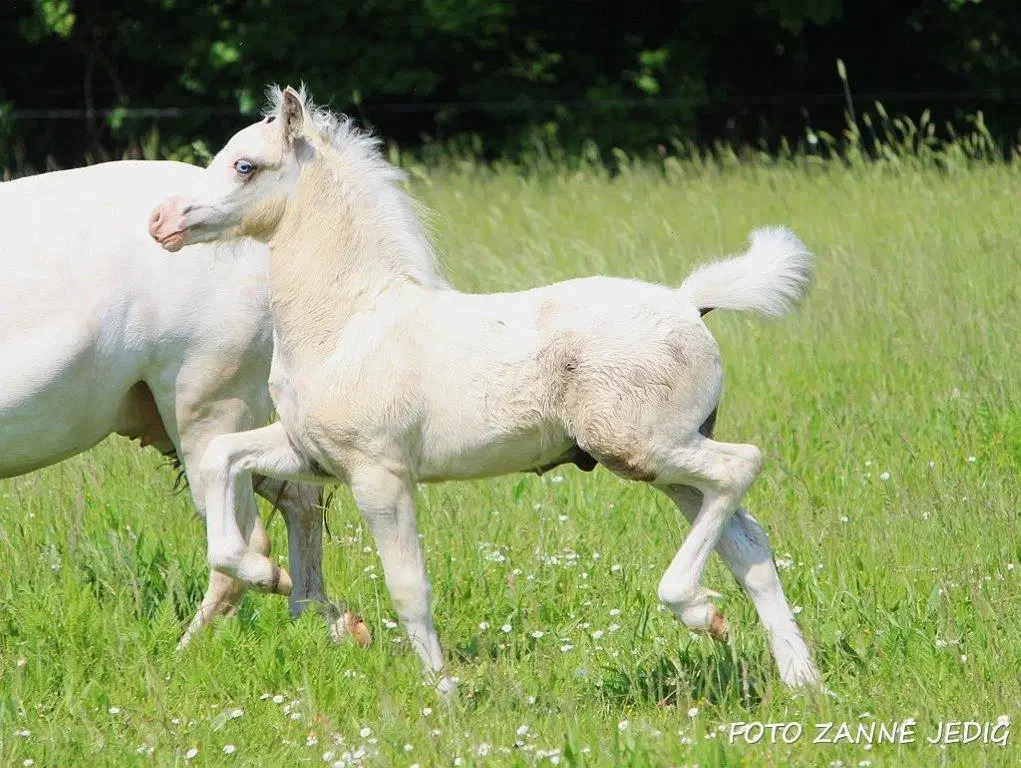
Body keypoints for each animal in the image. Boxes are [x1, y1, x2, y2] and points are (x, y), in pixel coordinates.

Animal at [0, 160, 367, 649]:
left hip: (207, 411)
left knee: (246, 545)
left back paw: (187, 650)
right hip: (171, 423)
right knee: (300, 499)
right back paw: (330, 621)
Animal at [149, 86, 820, 694]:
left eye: (244, 165)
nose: (161, 221)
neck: (350, 322)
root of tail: (688, 303)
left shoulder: (378, 472)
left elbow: (409, 588)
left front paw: (443, 696)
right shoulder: (310, 453)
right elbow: (223, 457)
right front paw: (265, 573)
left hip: (642, 447)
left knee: (741, 467)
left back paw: (700, 610)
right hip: (666, 464)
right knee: (750, 546)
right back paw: (800, 679)